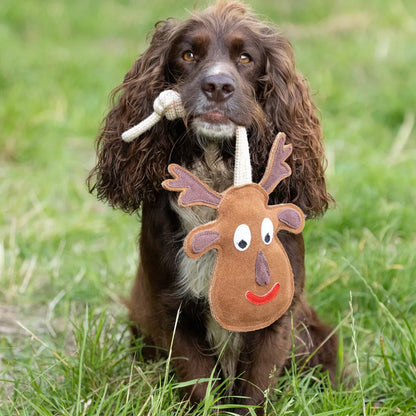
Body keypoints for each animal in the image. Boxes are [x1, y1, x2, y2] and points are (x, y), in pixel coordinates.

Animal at [88, 0, 338, 412]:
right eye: (188, 54)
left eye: (245, 57)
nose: (218, 86)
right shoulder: (172, 310)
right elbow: (200, 386)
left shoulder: (278, 315)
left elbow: (255, 390)